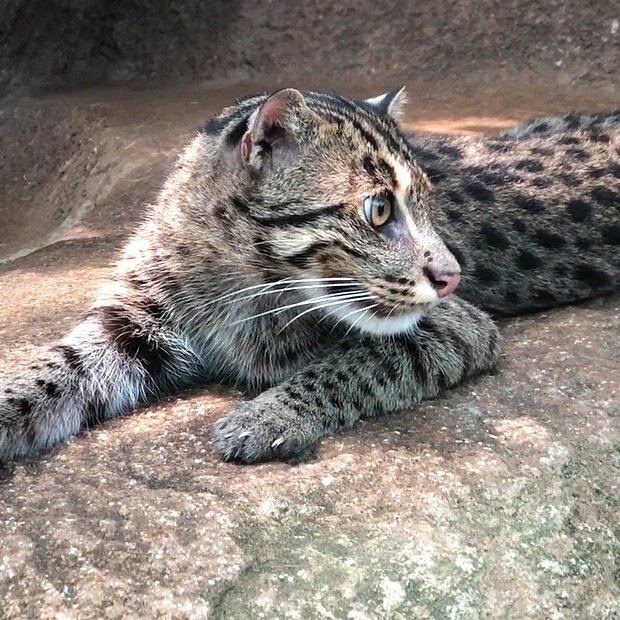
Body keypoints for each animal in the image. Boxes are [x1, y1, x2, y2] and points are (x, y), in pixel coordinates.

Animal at [1, 89, 620, 462]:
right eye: (378, 210)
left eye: (431, 205)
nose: (451, 278)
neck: (234, 279)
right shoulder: (132, 317)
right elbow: (54, 370)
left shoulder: (460, 327)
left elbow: (356, 362)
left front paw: (267, 417)